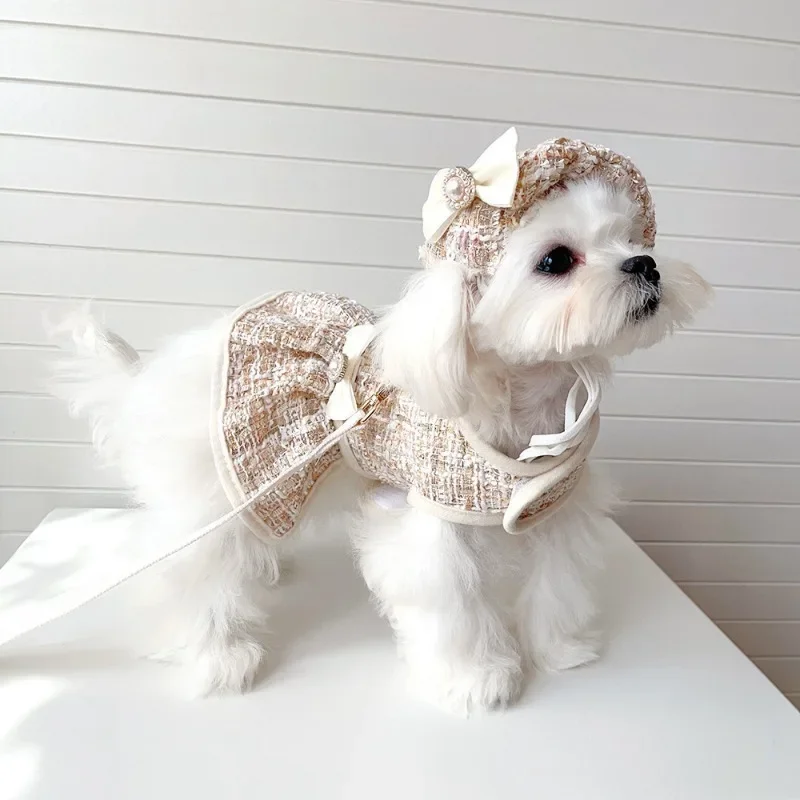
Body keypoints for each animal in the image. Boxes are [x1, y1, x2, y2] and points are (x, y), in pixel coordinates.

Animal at [52, 132, 711, 715]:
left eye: (630, 236)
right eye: (556, 260)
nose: (645, 264)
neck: (525, 404)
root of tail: (151, 376)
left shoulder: (560, 509)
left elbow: (559, 581)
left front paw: (562, 649)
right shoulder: (428, 524)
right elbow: (452, 602)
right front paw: (477, 679)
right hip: (223, 484)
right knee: (187, 572)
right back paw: (217, 657)